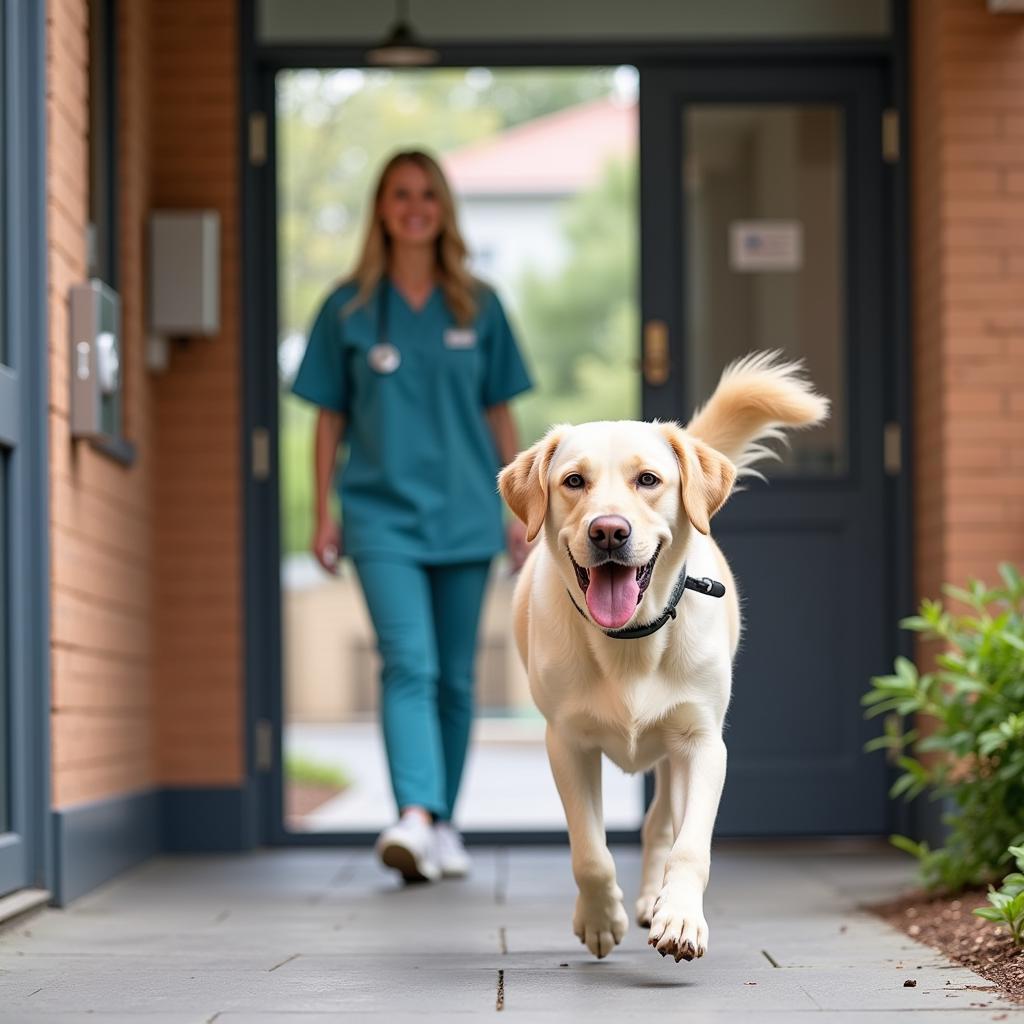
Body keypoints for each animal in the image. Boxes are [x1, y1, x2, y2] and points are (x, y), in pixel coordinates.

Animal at [499, 352, 827, 958]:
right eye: (573, 481)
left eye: (648, 480)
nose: (609, 531)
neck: (629, 640)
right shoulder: (567, 743)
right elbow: (591, 851)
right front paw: (599, 918)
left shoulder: (702, 744)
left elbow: (689, 844)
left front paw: (679, 917)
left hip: (672, 753)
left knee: (660, 825)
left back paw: (656, 901)